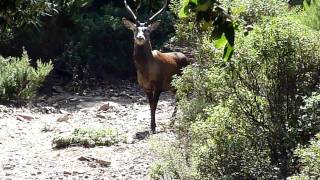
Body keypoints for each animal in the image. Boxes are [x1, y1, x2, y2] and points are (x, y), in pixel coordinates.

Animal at [121, 0, 189, 133]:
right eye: (135, 29)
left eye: (147, 30)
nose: (140, 37)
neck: (146, 71)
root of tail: (186, 57)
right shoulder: (145, 87)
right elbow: (150, 105)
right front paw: (153, 125)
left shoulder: (158, 85)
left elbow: (154, 105)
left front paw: (153, 127)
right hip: (172, 86)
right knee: (179, 98)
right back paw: (172, 122)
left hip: (183, 81)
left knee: (185, 97)